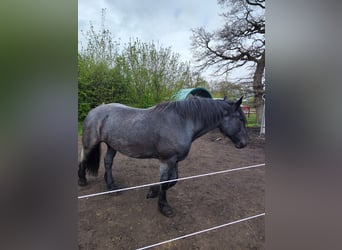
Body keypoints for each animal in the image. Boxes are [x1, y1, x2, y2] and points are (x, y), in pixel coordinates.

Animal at [78, 95, 247, 217]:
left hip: (112, 145)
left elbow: (173, 181)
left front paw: (152, 191)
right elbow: (165, 183)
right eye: (240, 119)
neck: (182, 121)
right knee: (83, 159)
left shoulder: (175, 161)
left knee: (108, 162)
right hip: (90, 143)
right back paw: (82, 180)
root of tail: (94, 111)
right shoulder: (167, 160)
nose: (244, 144)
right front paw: (164, 207)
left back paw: (111, 186)